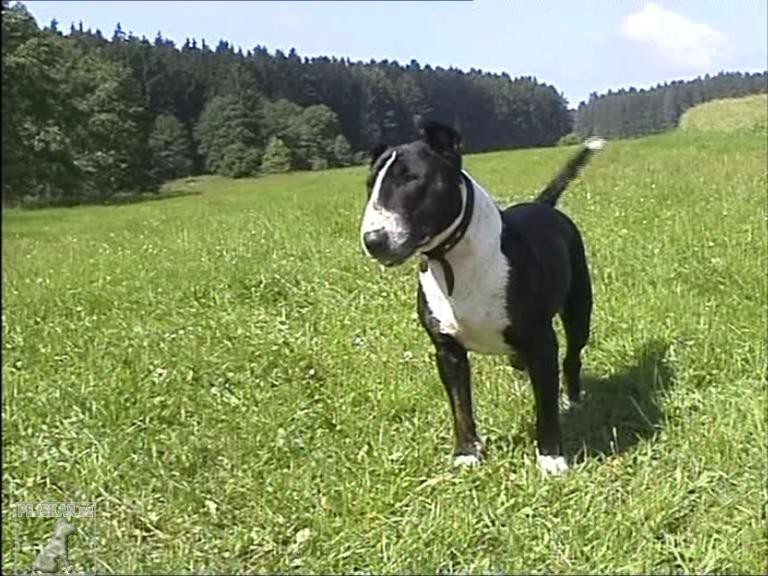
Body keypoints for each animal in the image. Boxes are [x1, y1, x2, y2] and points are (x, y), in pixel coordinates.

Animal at [360, 120, 608, 472]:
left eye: (412, 178)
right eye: (370, 184)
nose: (373, 240)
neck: (453, 262)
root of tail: (542, 205)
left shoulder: (541, 342)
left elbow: (545, 406)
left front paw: (551, 458)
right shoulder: (447, 351)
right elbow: (460, 405)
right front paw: (467, 453)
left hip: (578, 309)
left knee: (572, 356)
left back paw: (572, 399)